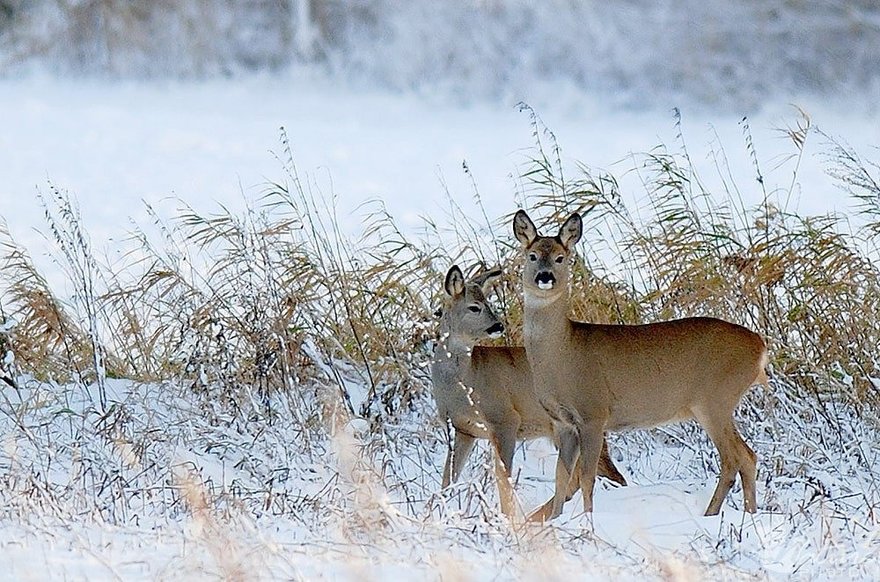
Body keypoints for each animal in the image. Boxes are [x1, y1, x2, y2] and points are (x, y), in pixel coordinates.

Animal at [432, 264, 624, 520]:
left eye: (488, 303)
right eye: (474, 307)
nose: (498, 326)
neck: (465, 383)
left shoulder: (504, 418)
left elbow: (503, 478)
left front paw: (506, 518)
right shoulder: (463, 429)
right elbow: (448, 478)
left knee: (609, 475)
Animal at [512, 212, 768, 524]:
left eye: (561, 258)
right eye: (532, 255)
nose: (545, 277)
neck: (562, 354)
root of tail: (760, 346)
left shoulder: (594, 412)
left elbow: (586, 477)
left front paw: (587, 521)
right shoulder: (563, 422)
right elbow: (561, 477)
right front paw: (556, 520)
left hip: (715, 399)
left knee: (734, 458)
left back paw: (713, 514)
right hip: (717, 403)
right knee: (748, 456)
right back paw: (748, 515)